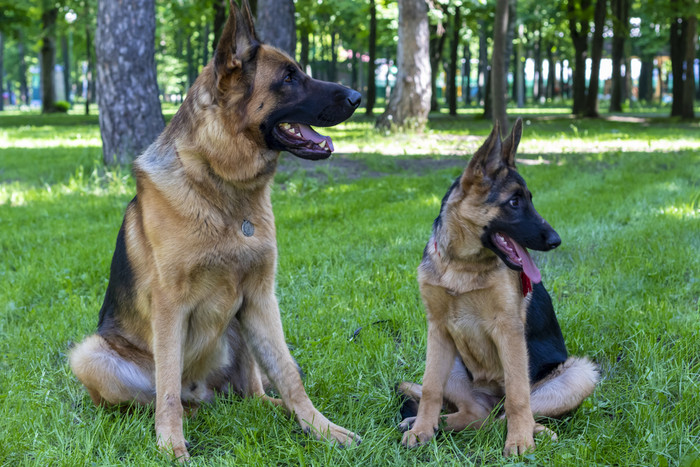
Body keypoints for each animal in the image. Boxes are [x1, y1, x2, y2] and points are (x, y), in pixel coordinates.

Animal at [69, 0, 360, 460]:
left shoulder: (261, 296)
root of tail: (204, 391)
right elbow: (167, 388)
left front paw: (321, 428)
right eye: (289, 78)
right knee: (163, 396)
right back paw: (183, 418)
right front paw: (171, 446)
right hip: (90, 354)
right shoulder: (170, 308)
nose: (357, 97)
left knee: (253, 393)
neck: (220, 185)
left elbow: (289, 372)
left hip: (240, 324)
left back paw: (272, 409)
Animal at [396, 119, 600, 458]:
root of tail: (490, 397)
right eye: (514, 202)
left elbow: (519, 397)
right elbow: (430, 388)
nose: (556, 240)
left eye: (530, 199)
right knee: (477, 415)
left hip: (579, 374)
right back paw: (430, 423)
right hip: (456, 365)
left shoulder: (509, 330)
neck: (462, 267)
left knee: (507, 413)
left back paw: (535, 432)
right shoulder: (437, 330)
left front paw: (519, 441)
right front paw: (422, 430)